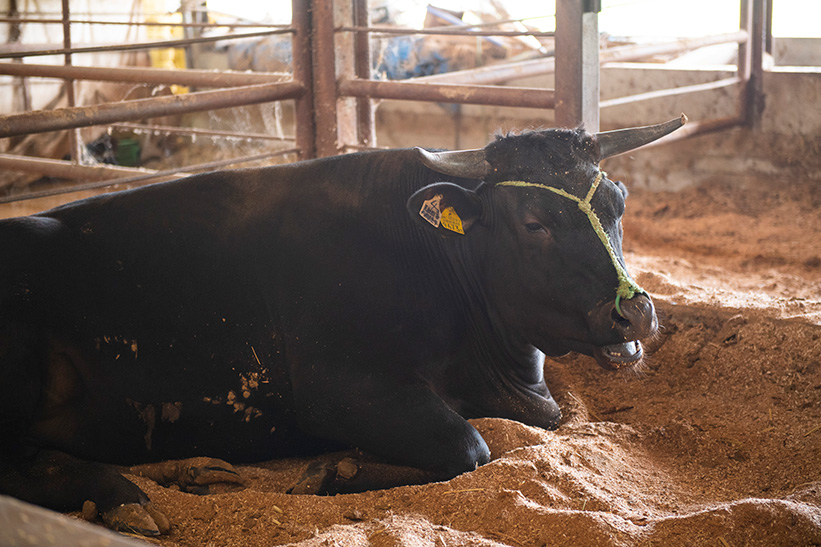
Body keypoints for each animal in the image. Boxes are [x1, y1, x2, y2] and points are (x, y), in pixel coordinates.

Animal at [0, 116, 684, 536]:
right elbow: (468, 444)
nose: (633, 310)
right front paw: (335, 470)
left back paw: (188, 470)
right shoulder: (339, 387)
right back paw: (123, 496)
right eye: (534, 222)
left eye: (619, 203)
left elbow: (539, 419)